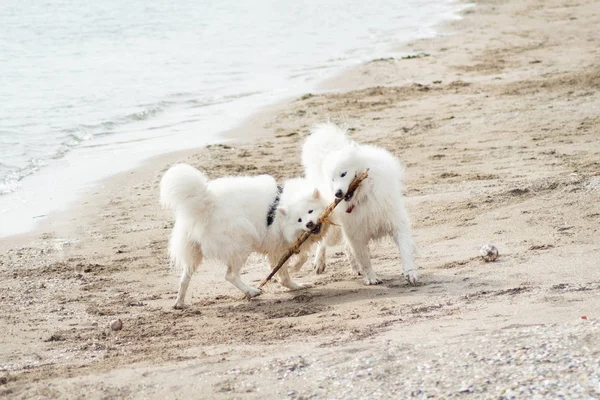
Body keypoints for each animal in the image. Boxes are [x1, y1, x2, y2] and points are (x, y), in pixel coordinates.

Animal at [159, 163, 328, 310]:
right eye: (299, 220)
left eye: (311, 211)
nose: (309, 224)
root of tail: (205, 202)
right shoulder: (280, 246)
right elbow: (296, 262)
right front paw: (296, 271)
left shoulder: (281, 248)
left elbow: (290, 267)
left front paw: (295, 284)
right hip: (242, 243)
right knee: (230, 275)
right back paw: (252, 291)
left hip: (194, 252)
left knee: (184, 278)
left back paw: (179, 303)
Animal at [300, 123, 418, 286]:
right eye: (332, 180)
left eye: (343, 174)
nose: (337, 194)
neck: (363, 196)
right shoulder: (355, 233)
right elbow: (364, 259)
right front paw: (371, 278)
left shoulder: (395, 221)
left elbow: (405, 248)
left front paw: (410, 273)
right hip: (333, 228)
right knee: (323, 241)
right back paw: (319, 262)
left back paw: (355, 268)